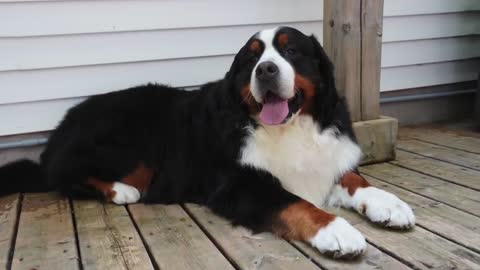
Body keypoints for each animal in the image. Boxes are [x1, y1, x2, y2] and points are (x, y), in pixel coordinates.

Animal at [0, 27, 412, 260]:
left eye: (291, 51)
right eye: (251, 58)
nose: (266, 70)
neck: (290, 128)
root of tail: (62, 126)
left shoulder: (326, 159)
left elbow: (355, 178)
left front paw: (390, 204)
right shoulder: (240, 183)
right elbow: (295, 202)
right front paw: (336, 231)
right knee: (65, 177)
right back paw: (121, 191)